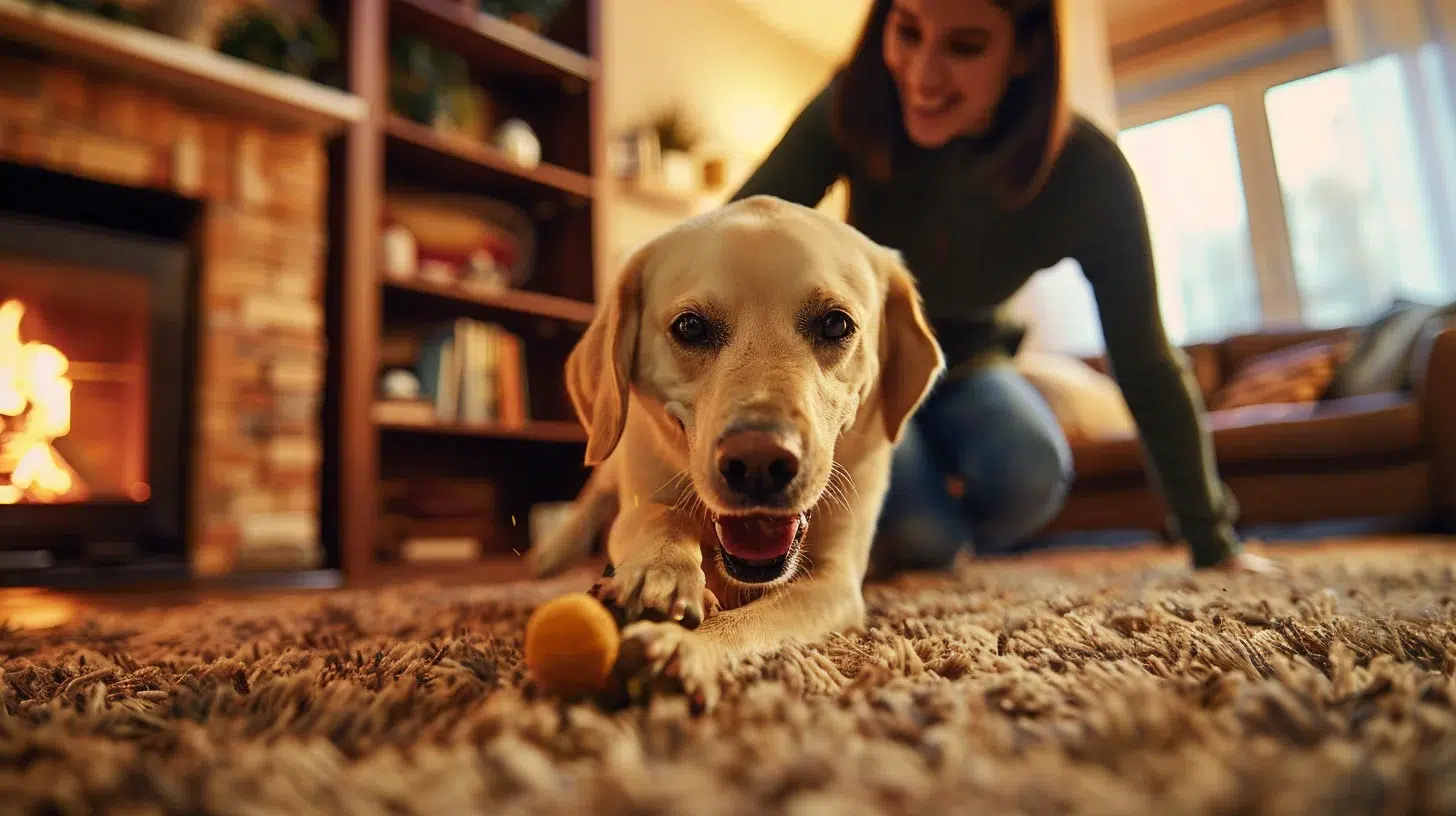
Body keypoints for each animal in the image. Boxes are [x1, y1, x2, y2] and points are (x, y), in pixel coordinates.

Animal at [524, 196, 943, 708]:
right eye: (689, 327)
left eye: (836, 323)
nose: (758, 463)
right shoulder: (639, 498)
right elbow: (660, 515)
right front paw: (662, 572)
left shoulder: (834, 581)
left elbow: (753, 620)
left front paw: (685, 647)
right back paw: (550, 555)